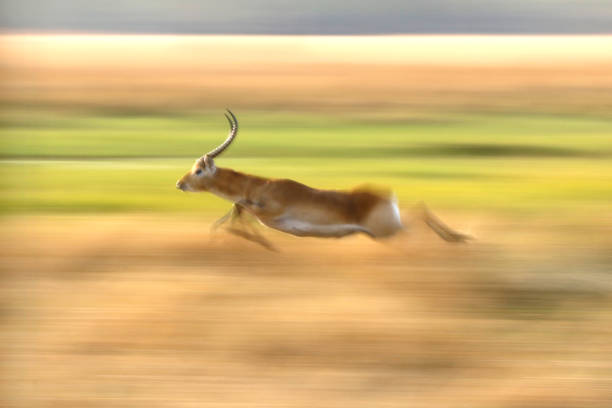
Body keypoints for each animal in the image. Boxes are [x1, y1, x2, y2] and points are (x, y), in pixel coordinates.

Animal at [175, 109, 470, 249]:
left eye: (198, 170)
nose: (180, 184)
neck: (261, 186)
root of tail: (385, 194)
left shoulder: (271, 213)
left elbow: (240, 208)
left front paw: (265, 244)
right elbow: (234, 212)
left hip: (387, 230)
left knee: (419, 214)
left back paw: (459, 238)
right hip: (384, 232)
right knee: (420, 208)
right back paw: (460, 238)